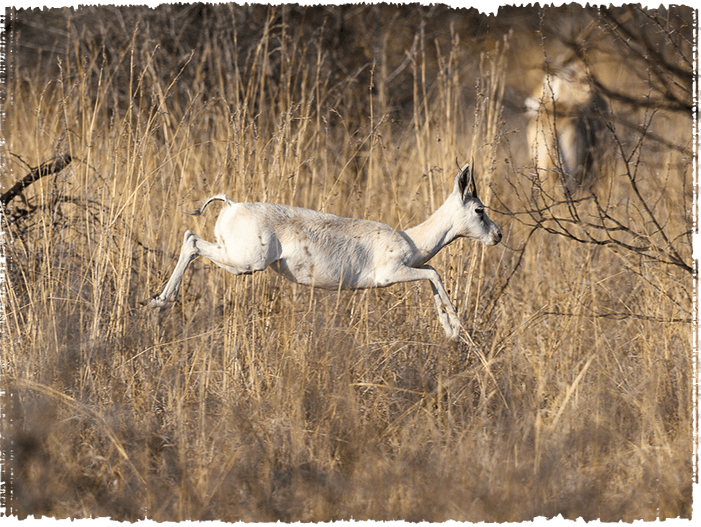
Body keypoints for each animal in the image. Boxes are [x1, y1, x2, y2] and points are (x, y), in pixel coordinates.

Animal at [148, 162, 500, 342]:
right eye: (480, 209)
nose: (497, 234)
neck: (410, 240)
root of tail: (231, 206)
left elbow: (432, 275)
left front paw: (450, 330)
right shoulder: (391, 273)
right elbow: (434, 274)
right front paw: (455, 331)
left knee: (189, 238)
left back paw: (158, 301)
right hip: (245, 263)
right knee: (192, 241)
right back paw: (160, 302)